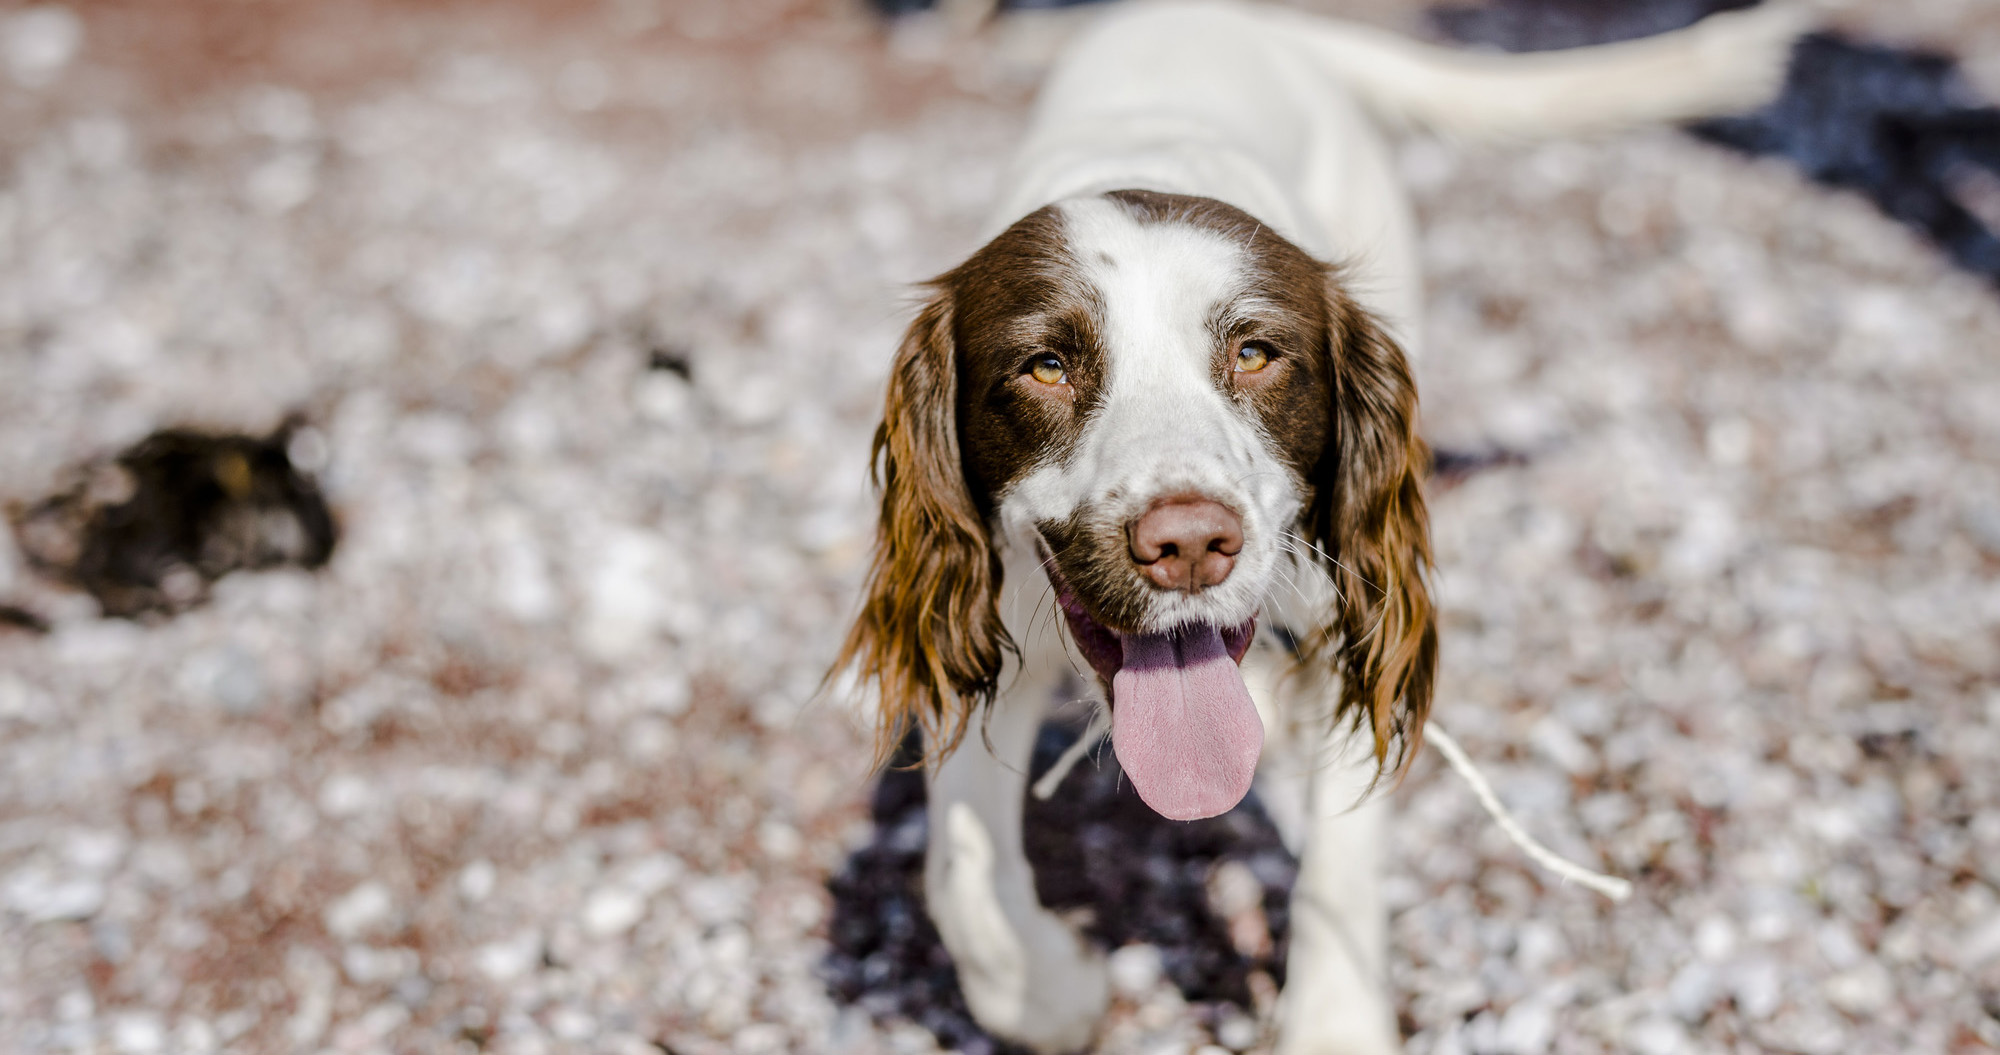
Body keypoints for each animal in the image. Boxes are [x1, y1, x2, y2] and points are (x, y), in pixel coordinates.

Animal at [836, 4, 1808, 1047]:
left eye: (1257, 352)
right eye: (1046, 365)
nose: (1188, 543)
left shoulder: (1346, 611)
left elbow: (1345, 838)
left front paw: (1333, 1018)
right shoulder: (991, 614)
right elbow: (960, 864)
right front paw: (1046, 989)